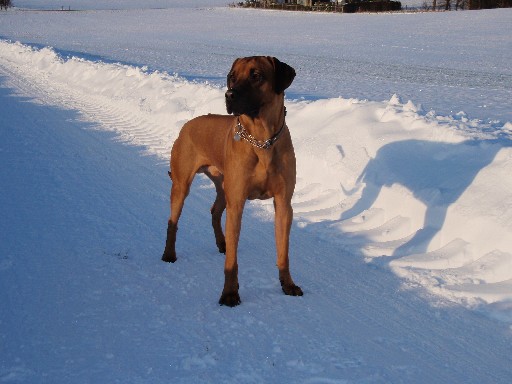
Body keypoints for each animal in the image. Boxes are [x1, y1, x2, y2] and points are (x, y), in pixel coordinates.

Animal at [162, 55, 302, 306]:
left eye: (256, 75)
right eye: (232, 76)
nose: (229, 94)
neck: (262, 140)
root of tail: (187, 124)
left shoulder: (284, 203)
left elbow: (283, 251)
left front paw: (287, 284)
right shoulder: (237, 202)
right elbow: (232, 261)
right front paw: (229, 293)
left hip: (223, 185)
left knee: (215, 211)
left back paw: (222, 243)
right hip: (181, 185)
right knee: (173, 222)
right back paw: (169, 254)